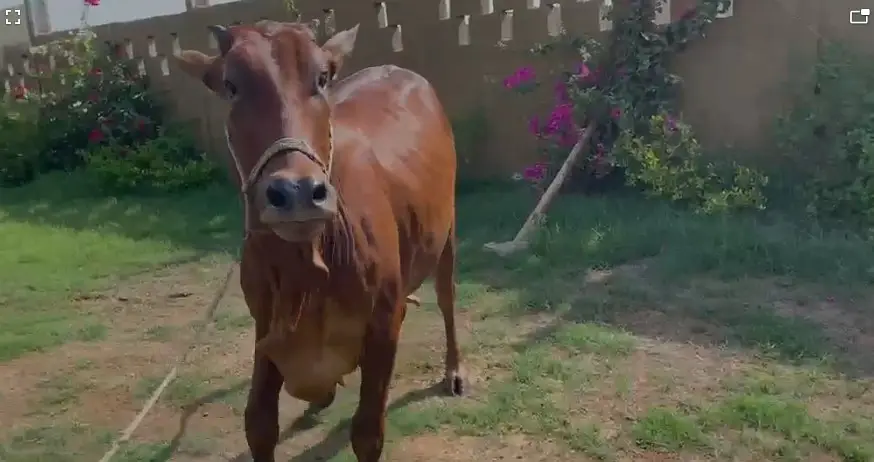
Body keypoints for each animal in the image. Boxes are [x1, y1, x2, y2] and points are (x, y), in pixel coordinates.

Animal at [173, 20, 465, 462]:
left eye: (322, 77)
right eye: (230, 84)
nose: (296, 192)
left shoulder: (383, 324)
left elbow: (367, 432)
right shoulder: (266, 327)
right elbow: (258, 424)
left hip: (446, 228)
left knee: (447, 298)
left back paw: (454, 370)